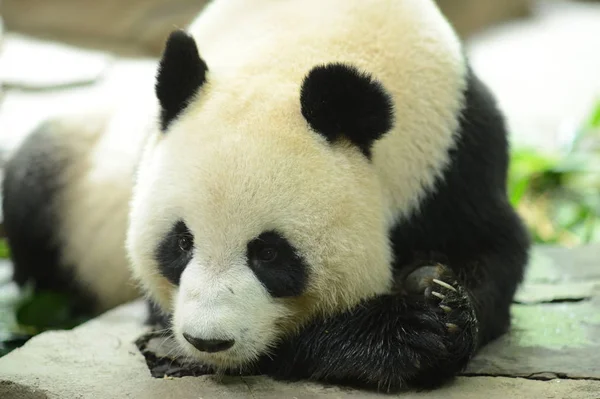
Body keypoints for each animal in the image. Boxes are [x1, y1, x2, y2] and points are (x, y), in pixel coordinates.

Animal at [3, 0, 528, 394]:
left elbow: (492, 251)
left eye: (270, 253)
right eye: (181, 243)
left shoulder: (452, 152)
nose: (207, 341)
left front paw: (443, 305)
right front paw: (405, 334)